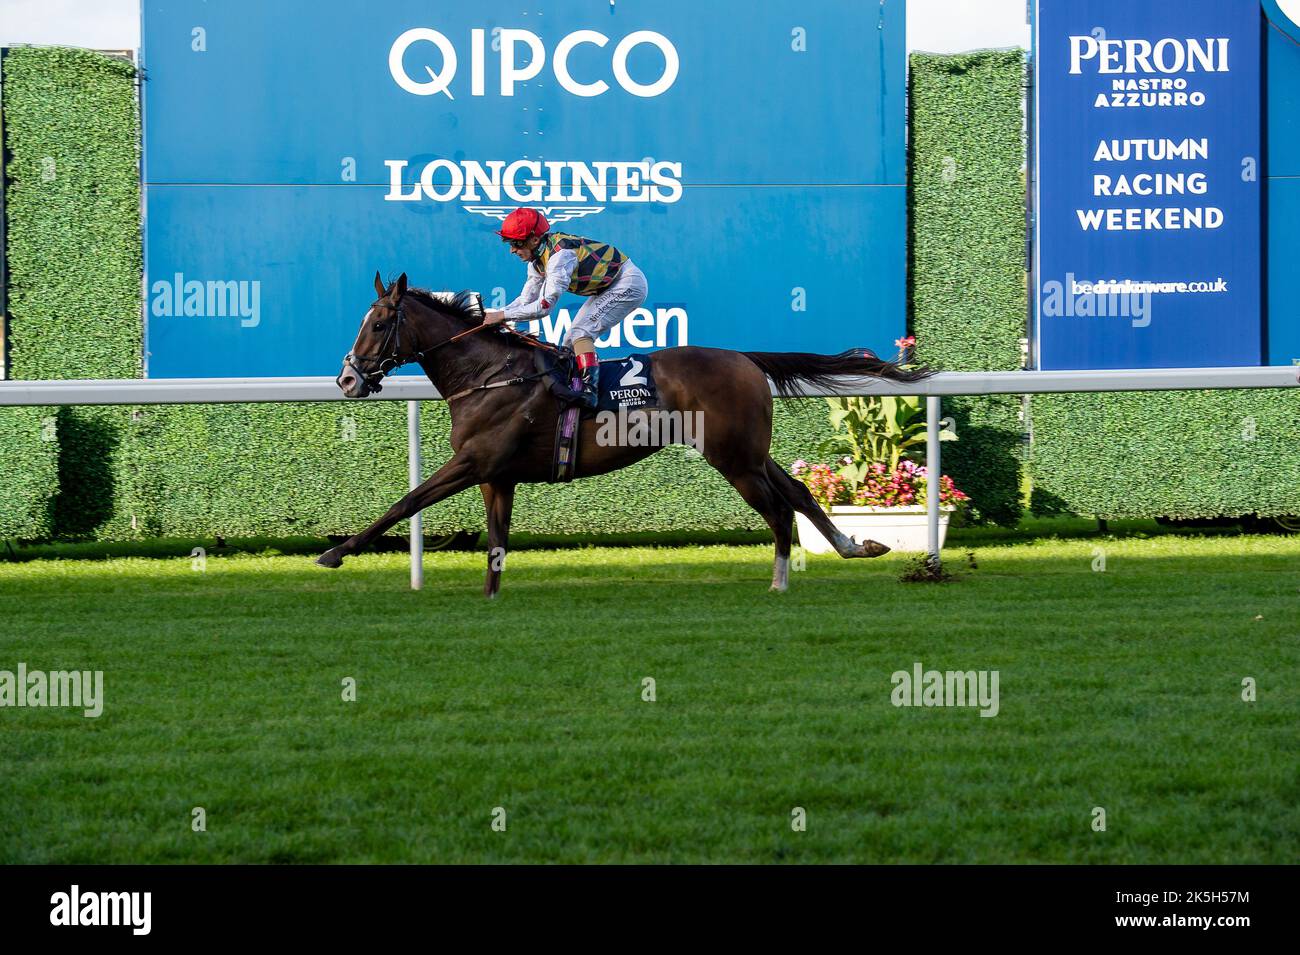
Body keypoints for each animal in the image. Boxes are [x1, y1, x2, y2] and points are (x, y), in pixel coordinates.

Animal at [318, 272, 930, 595]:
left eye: (378, 323)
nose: (347, 378)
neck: (491, 374)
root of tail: (745, 358)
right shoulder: (498, 476)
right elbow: (495, 543)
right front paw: (490, 600)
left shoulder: (473, 462)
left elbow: (405, 502)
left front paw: (336, 553)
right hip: (751, 453)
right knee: (799, 492)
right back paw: (856, 545)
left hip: (733, 459)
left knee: (779, 510)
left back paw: (780, 582)